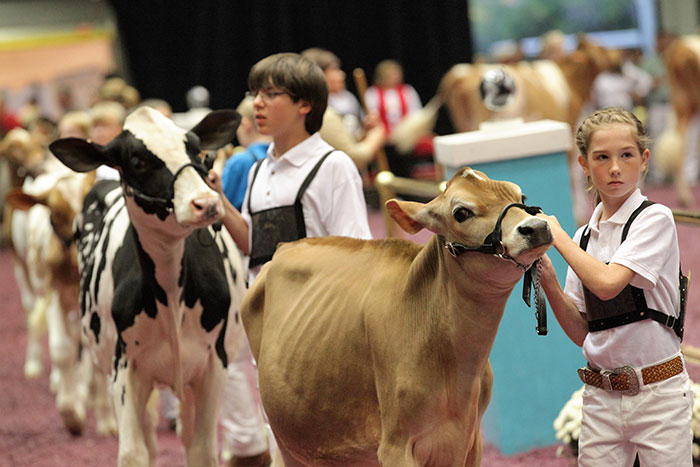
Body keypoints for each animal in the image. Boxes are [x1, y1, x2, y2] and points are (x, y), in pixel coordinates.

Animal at [49, 107, 246, 467]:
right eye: (137, 161)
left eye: (194, 148)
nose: (206, 202)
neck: (170, 292)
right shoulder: (125, 368)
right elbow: (133, 453)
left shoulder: (214, 364)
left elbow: (203, 450)